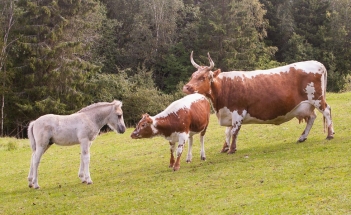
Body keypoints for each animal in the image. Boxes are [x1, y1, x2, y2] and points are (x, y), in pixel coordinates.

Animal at [184, 51, 336, 154]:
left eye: (203, 77)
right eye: (192, 76)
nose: (186, 87)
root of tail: (317, 63)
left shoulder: (238, 111)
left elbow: (234, 131)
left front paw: (232, 149)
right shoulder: (228, 113)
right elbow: (227, 132)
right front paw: (225, 148)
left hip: (317, 98)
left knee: (327, 111)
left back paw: (330, 134)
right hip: (306, 105)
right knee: (312, 117)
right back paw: (302, 137)